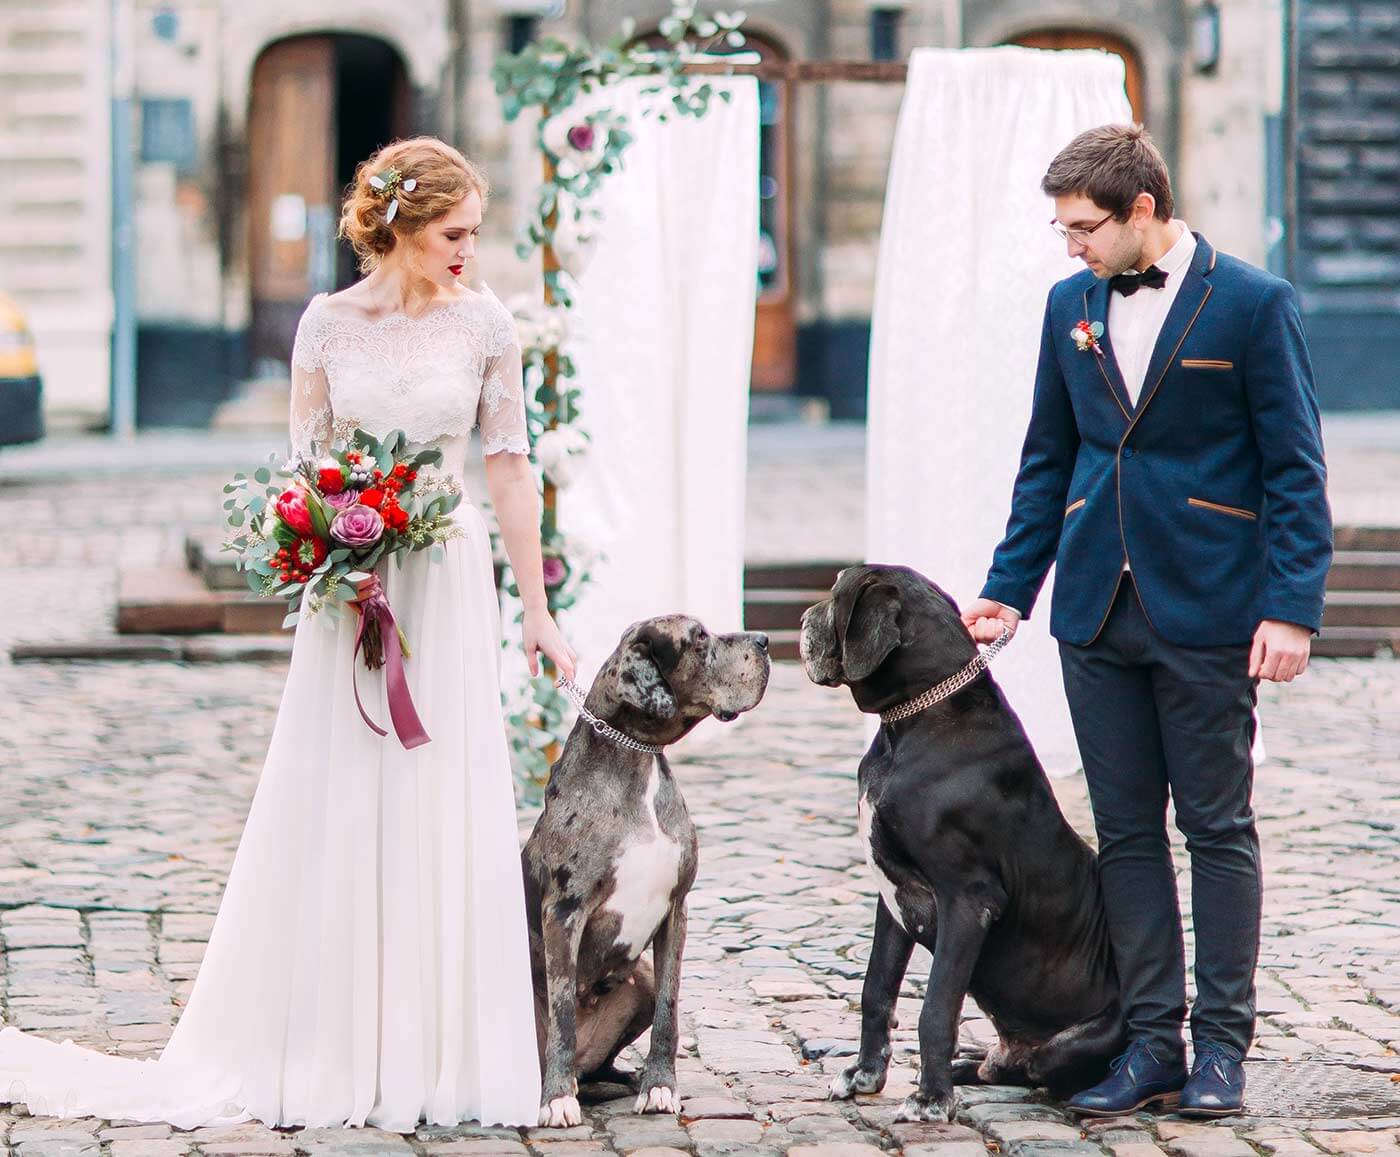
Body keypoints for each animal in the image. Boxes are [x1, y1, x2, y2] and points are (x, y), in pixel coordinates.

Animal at [806, 565, 1120, 1120]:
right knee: (1005, 1066)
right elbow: (875, 989)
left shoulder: (969, 900)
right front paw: (865, 1075)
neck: (914, 720)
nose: (801, 618)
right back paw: (970, 1065)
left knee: (1036, 1071)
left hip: (1072, 1045)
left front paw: (931, 1100)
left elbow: (936, 1006)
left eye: (836, 592)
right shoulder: (894, 897)